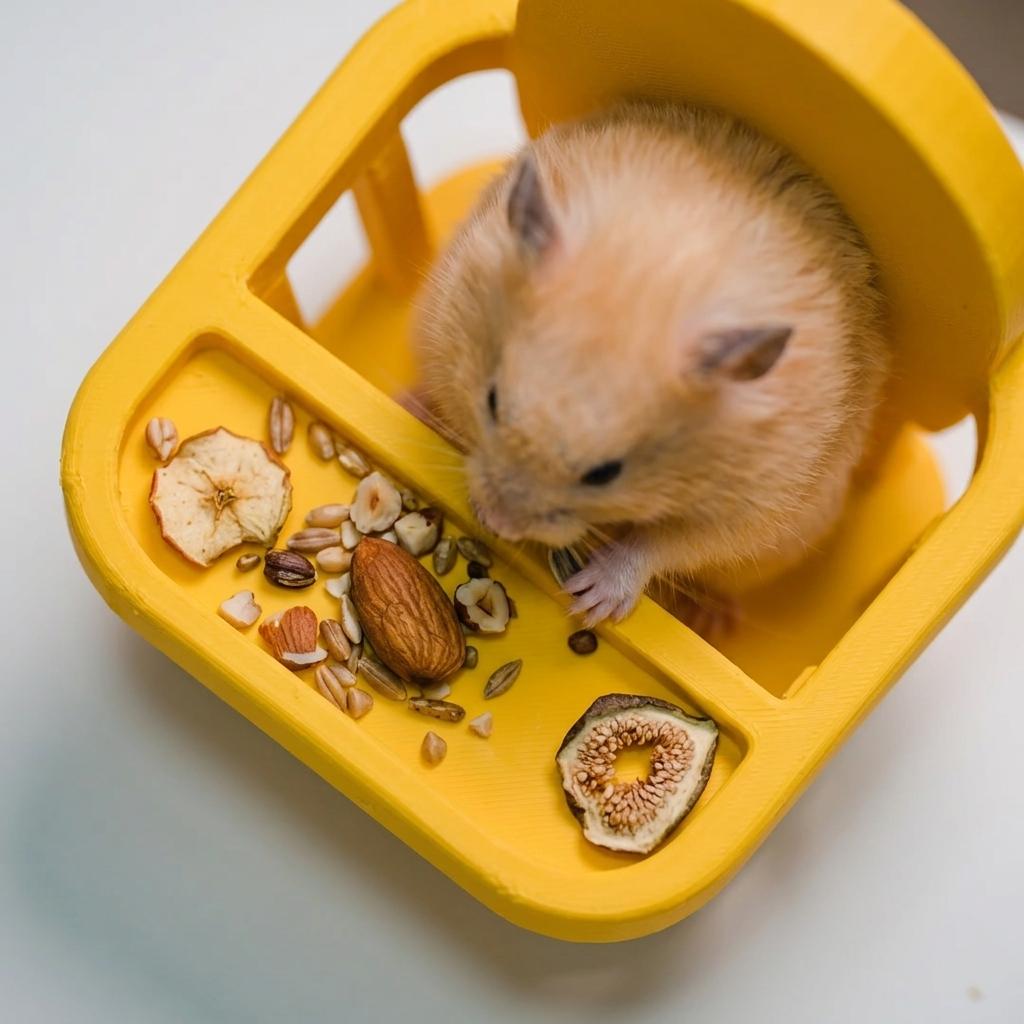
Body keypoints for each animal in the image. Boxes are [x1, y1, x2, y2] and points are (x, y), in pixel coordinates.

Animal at [411, 102, 888, 632]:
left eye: (605, 474)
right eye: (491, 401)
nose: (498, 523)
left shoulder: (756, 507)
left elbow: (666, 544)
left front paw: (590, 600)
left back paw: (712, 619)